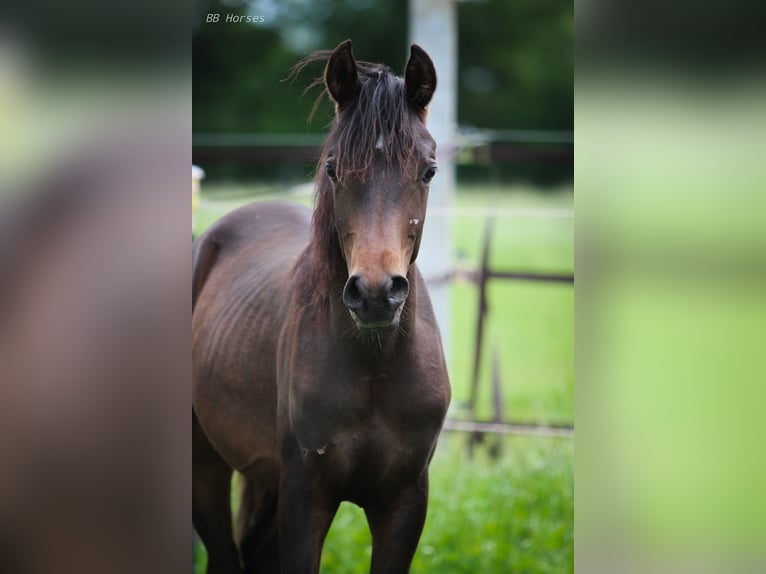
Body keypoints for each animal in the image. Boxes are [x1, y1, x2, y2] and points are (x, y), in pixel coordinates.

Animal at [192, 40, 452, 574]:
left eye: (429, 170)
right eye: (333, 168)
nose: (375, 293)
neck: (374, 367)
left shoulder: (404, 503)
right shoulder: (304, 498)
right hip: (204, 467)